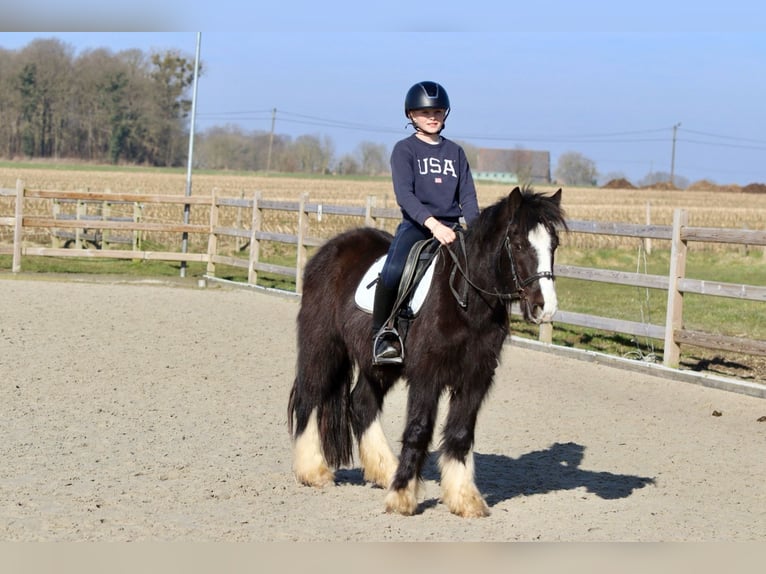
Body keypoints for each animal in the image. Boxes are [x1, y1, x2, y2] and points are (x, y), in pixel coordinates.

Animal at [288, 187, 564, 520]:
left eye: (554, 244)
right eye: (519, 243)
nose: (544, 308)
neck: (466, 300)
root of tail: (330, 249)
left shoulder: (476, 377)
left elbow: (460, 433)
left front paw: (464, 499)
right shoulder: (426, 375)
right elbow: (418, 430)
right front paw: (402, 497)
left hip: (379, 364)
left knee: (362, 403)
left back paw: (386, 471)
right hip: (323, 345)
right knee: (309, 397)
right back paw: (313, 471)